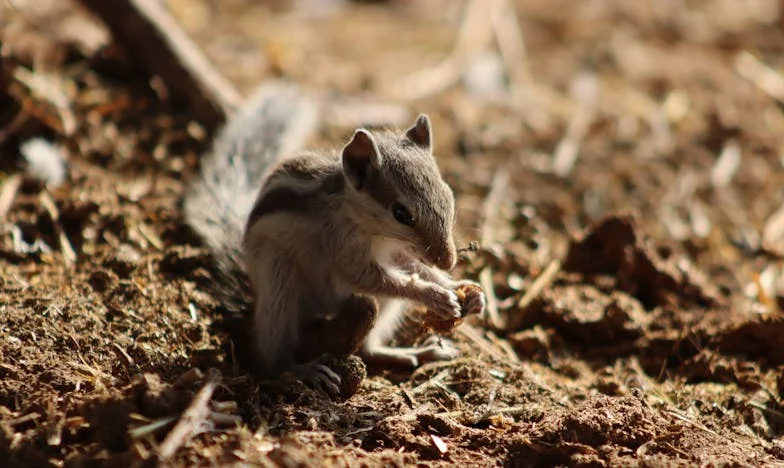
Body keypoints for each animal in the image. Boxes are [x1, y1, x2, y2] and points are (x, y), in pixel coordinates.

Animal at [187, 81, 486, 394]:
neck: (368, 226)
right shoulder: (343, 246)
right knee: (269, 358)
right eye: (401, 213)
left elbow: (413, 267)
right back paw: (303, 370)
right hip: (277, 279)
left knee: (368, 347)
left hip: (375, 305)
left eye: (448, 193)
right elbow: (371, 277)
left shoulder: (395, 252)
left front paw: (463, 289)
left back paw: (408, 352)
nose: (449, 261)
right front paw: (435, 295)